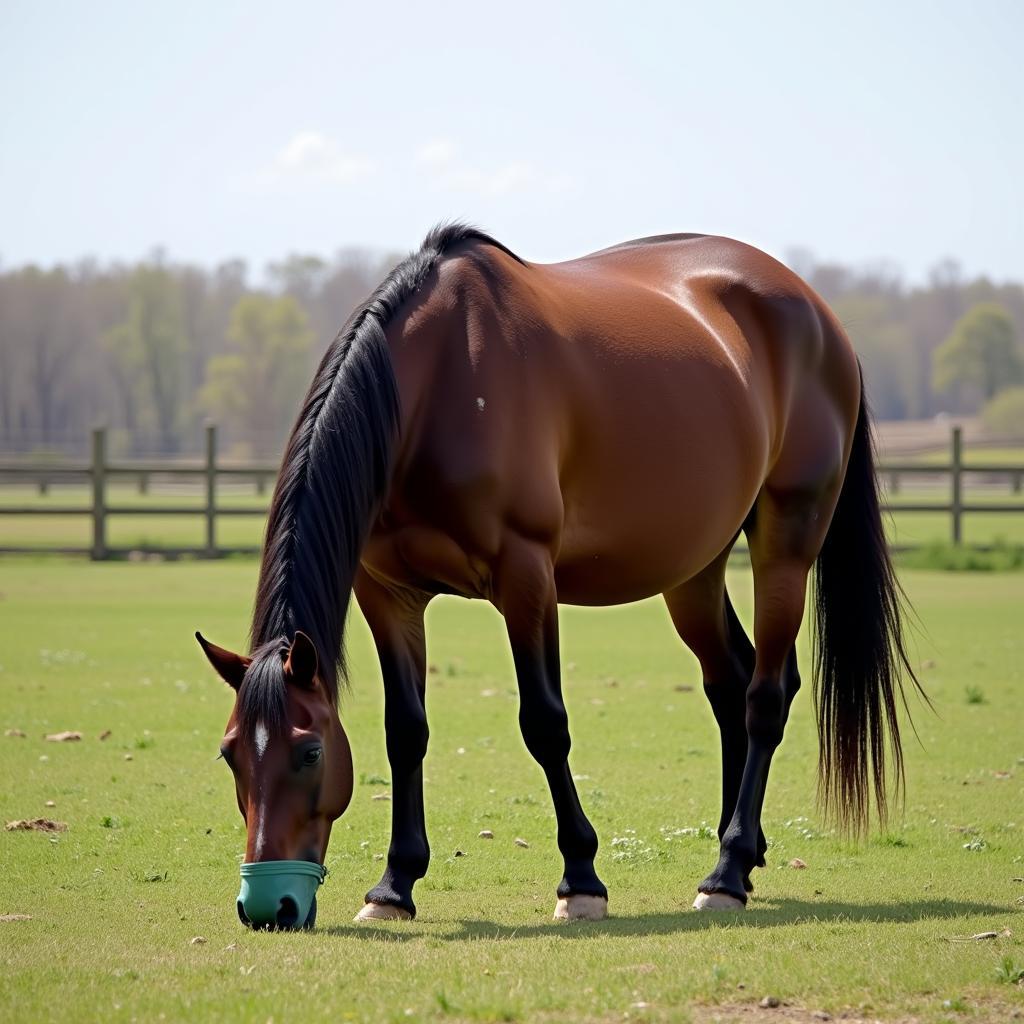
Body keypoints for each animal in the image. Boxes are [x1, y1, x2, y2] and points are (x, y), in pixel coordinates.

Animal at [195, 222, 917, 929]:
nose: (268, 907)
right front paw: (394, 886)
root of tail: (819, 316)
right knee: (730, 683)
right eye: (230, 753)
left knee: (765, 695)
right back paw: (739, 852)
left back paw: (728, 872)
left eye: (310, 752)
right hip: (694, 568)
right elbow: (406, 731)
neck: (437, 386)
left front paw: (582, 880)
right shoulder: (388, 595)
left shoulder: (526, 577)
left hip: (786, 539)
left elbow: (544, 723)